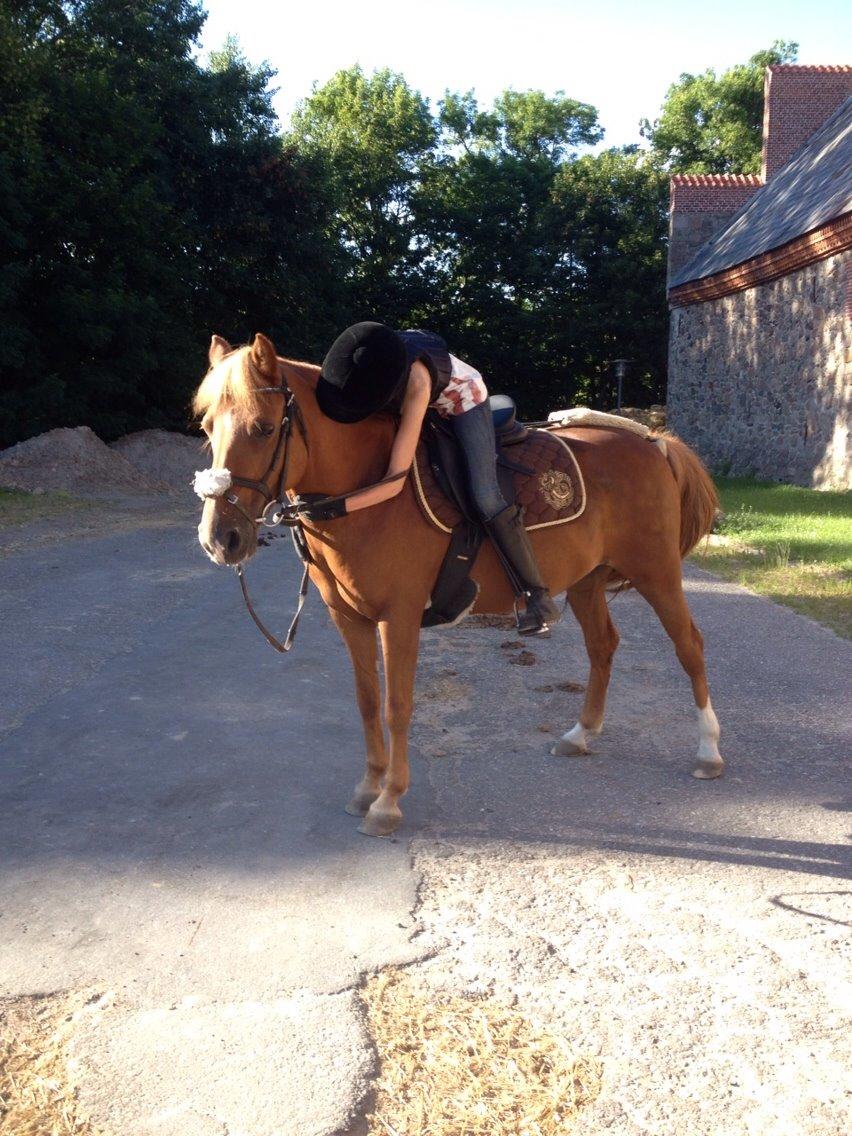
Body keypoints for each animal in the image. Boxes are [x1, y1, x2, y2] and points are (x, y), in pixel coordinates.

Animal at [195, 331, 727, 840]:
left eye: (264, 428)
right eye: (207, 428)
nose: (221, 538)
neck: (366, 498)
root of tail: (653, 441)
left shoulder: (399, 618)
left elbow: (397, 706)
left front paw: (388, 801)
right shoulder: (349, 618)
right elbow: (367, 702)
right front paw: (368, 787)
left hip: (656, 570)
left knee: (690, 646)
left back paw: (708, 751)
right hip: (586, 581)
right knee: (603, 646)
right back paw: (580, 734)